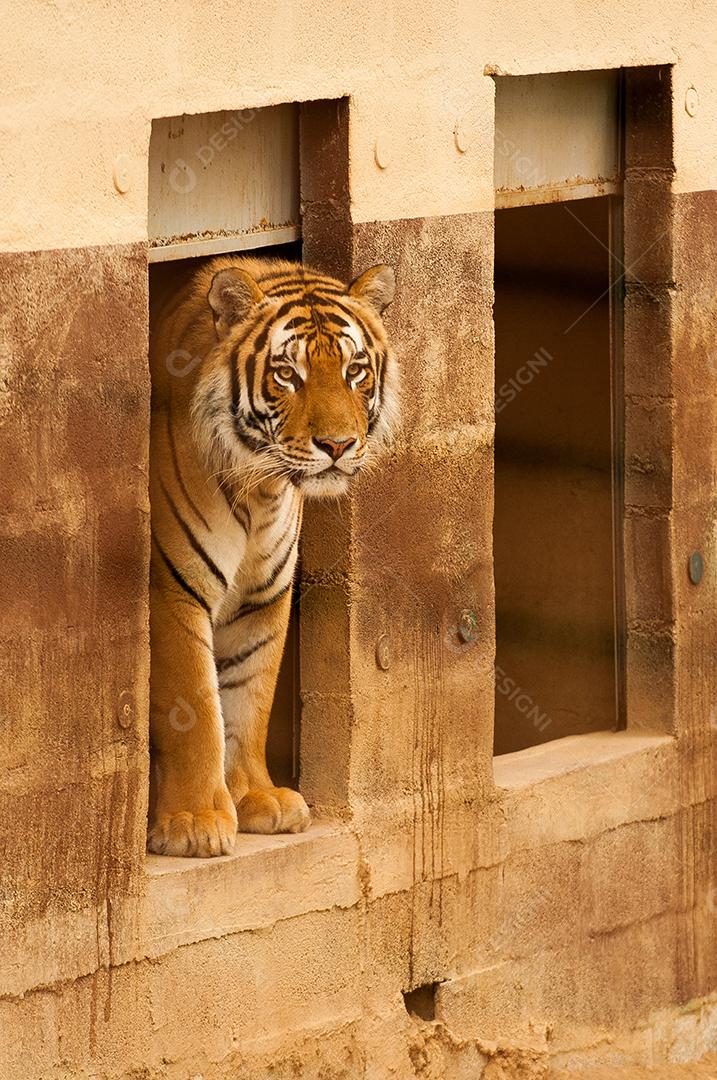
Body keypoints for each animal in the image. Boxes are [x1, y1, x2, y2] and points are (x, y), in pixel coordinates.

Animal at [146, 257, 397, 855]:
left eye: (355, 371)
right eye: (287, 374)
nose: (338, 446)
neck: (260, 491)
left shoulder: (265, 597)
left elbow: (249, 698)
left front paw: (255, 798)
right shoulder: (172, 588)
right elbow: (195, 707)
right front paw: (194, 822)